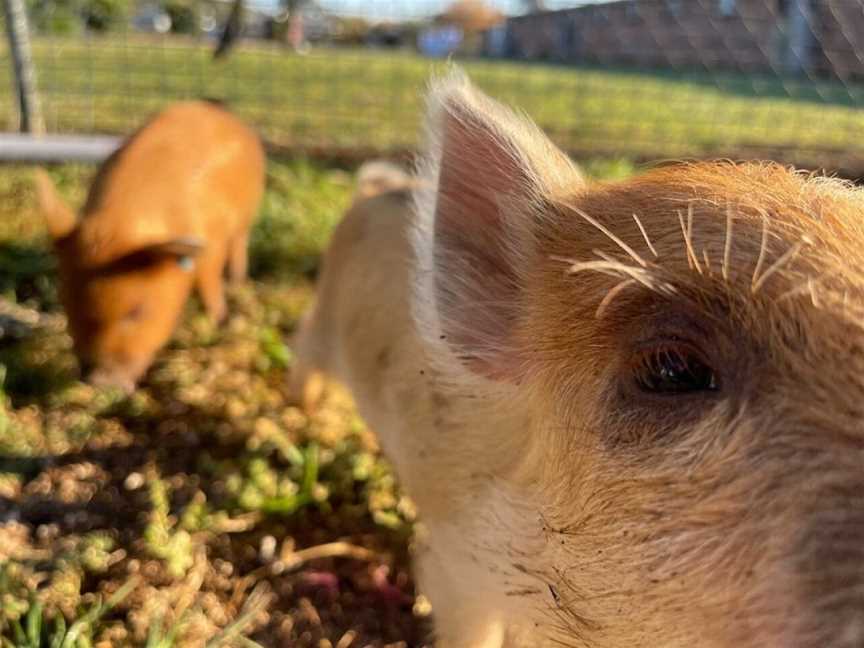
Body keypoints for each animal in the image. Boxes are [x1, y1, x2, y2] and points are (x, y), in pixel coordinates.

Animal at [36, 101, 266, 392]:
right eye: (64, 300)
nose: (99, 382)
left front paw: (220, 322)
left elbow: (210, 285)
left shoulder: (213, 245)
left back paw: (237, 283)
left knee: (240, 244)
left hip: (247, 215)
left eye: (136, 311)